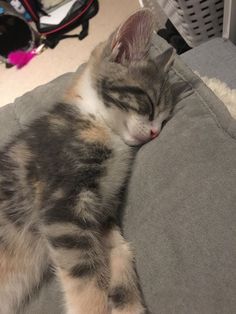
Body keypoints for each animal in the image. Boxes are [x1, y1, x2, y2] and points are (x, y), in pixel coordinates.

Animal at [0, 9, 177, 314]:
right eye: (149, 104)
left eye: (165, 118)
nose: (156, 132)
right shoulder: (61, 207)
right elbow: (86, 274)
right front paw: (94, 306)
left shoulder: (102, 212)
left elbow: (120, 249)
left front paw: (127, 302)